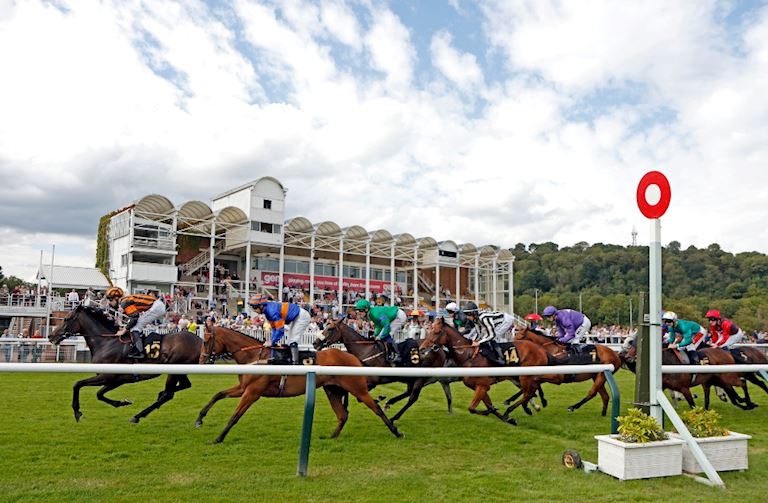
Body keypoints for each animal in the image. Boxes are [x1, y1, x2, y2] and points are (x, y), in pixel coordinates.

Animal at [48, 306, 201, 424]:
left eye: (67, 319)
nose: (50, 336)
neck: (107, 343)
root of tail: (200, 341)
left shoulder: (107, 376)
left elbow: (78, 384)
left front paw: (77, 412)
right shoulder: (117, 380)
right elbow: (99, 394)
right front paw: (122, 402)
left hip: (174, 370)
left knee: (168, 394)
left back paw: (137, 416)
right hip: (180, 370)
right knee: (184, 386)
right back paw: (157, 396)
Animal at [194, 324, 402, 442]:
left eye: (206, 341)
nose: (201, 361)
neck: (255, 356)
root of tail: (354, 357)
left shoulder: (252, 392)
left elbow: (235, 416)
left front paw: (219, 437)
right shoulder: (243, 388)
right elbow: (218, 394)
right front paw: (200, 419)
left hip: (356, 388)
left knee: (375, 407)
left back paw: (396, 431)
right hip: (332, 389)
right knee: (343, 415)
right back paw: (331, 437)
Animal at [312, 320, 456, 424]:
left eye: (330, 329)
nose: (315, 343)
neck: (366, 351)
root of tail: (440, 349)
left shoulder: (373, 380)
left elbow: (359, 396)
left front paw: (378, 399)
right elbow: (348, 392)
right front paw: (346, 406)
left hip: (421, 377)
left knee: (412, 398)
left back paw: (393, 416)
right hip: (411, 376)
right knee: (409, 392)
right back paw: (389, 403)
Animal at [416, 318, 548, 426]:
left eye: (436, 332)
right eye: (429, 330)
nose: (422, 348)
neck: (468, 356)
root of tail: (541, 349)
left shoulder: (482, 386)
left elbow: (472, 408)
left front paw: (496, 412)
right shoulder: (479, 387)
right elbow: (486, 405)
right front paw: (508, 419)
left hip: (525, 376)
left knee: (529, 393)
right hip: (518, 377)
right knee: (530, 392)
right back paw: (528, 406)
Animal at [616, 332, 756, 412]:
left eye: (632, 342)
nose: (623, 355)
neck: (669, 360)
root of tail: (726, 352)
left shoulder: (684, 388)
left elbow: (691, 404)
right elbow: (673, 396)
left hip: (728, 376)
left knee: (742, 383)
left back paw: (748, 402)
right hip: (718, 379)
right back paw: (744, 403)